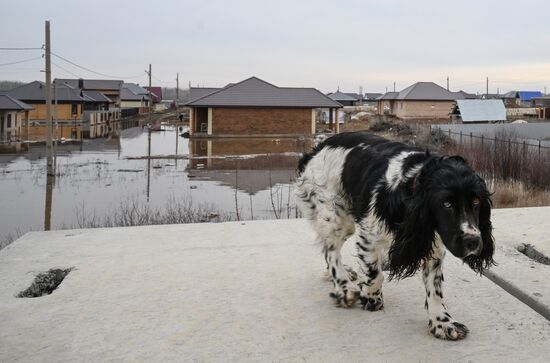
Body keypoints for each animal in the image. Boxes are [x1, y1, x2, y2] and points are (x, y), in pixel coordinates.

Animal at [298, 132, 496, 342]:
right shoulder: (368, 235)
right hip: (336, 216)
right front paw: (371, 297)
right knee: (331, 251)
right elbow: (374, 274)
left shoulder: (433, 245)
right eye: (446, 204)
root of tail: (319, 146)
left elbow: (435, 289)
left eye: (476, 202)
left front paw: (442, 322)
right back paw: (344, 287)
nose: (473, 241)